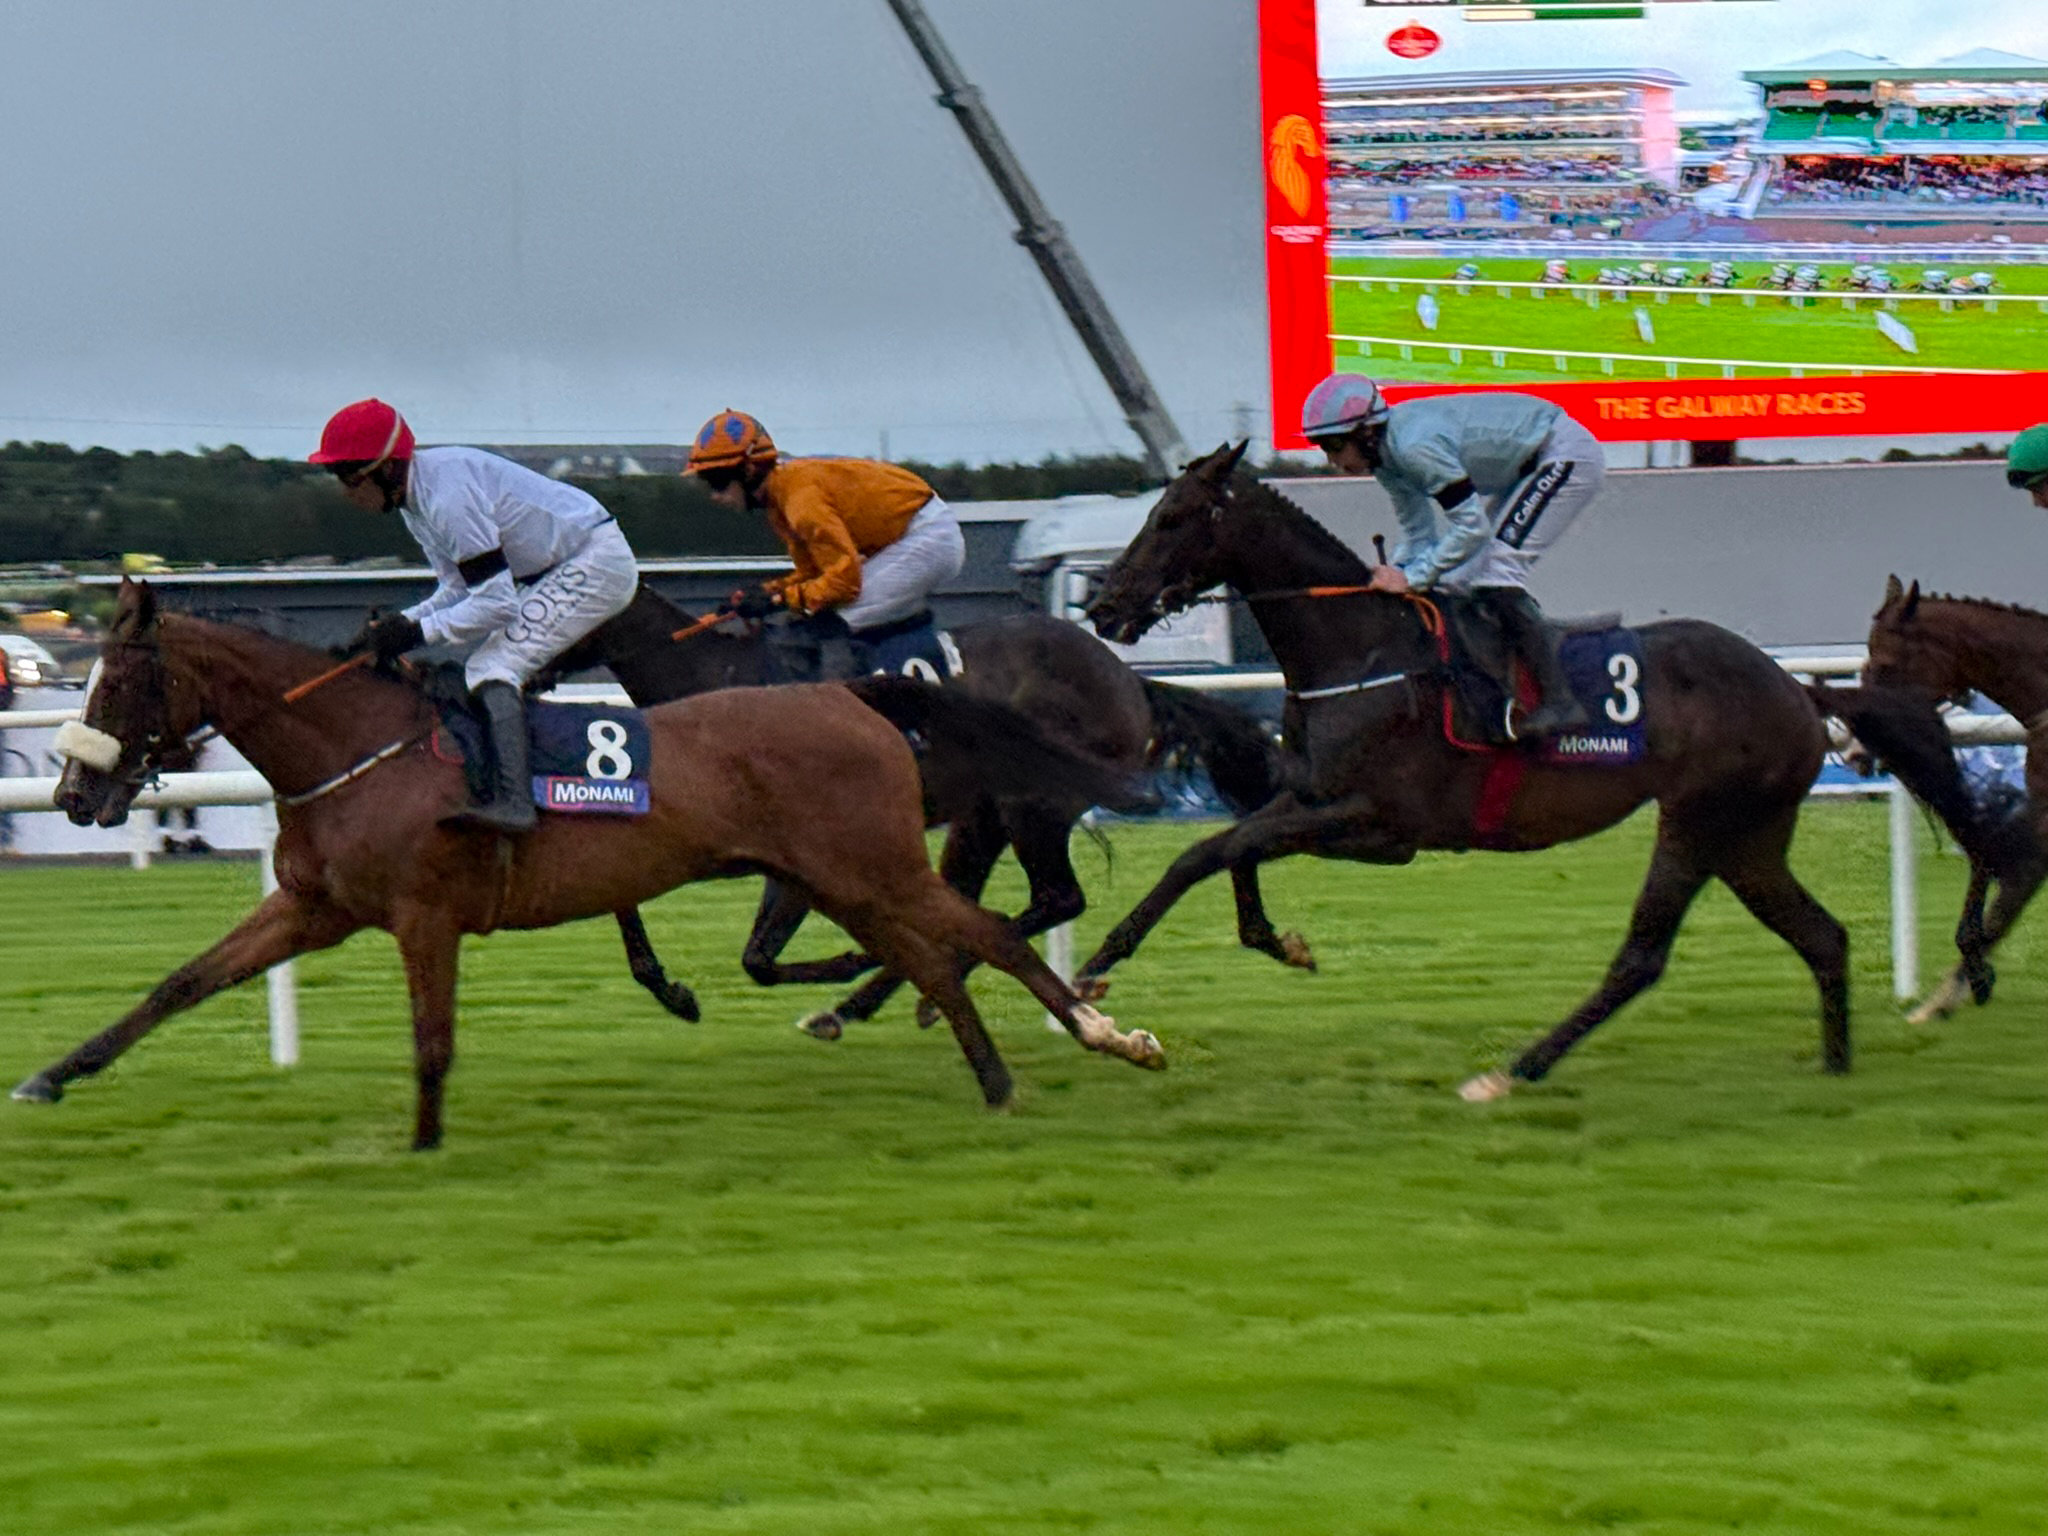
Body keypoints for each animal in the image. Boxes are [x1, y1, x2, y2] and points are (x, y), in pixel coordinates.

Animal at [18, 580, 1164, 1149]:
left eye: (119, 682)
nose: (72, 795)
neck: (356, 747)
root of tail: (850, 693)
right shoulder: (311, 907)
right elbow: (178, 985)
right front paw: (50, 1076)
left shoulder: (424, 914)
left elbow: (432, 1041)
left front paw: (423, 1144)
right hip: (845, 875)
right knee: (936, 955)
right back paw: (991, 1076)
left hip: (873, 864)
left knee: (982, 933)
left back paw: (1107, 1036)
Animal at [551, 583, 1283, 1037]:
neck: (716, 682)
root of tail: (1129, 678)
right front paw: (671, 990)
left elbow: (759, 956)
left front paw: (850, 961)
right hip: (983, 815)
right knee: (1010, 900)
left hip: (1031, 803)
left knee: (1054, 898)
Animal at [1080, 442, 1867, 1100]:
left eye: (1171, 518)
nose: (1103, 605)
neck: (1364, 653)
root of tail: (1797, 689)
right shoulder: (1310, 798)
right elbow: (1212, 851)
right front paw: (1229, 946)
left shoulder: (1379, 826)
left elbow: (1229, 844)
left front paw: (1118, 968)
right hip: (1746, 835)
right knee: (1822, 935)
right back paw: (1837, 1067)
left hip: (1699, 820)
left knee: (1642, 958)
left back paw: (1516, 1069)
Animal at [1865, 575, 2048, 1021]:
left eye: (1885, 664)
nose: (1866, 739)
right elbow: (1989, 875)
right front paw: (1952, 992)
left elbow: (2005, 898)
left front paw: (1960, 987)